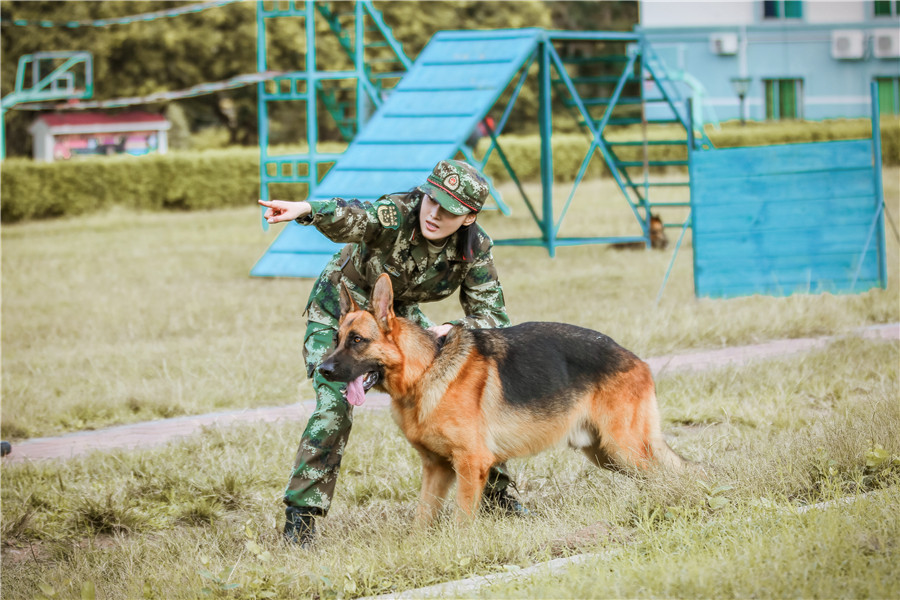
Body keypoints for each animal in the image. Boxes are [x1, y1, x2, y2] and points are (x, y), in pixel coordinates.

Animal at [320, 274, 684, 524]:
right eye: (336, 339)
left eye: (357, 340)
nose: (321, 369)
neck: (425, 369)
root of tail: (637, 360)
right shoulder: (437, 469)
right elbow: (422, 519)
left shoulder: (470, 464)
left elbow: (461, 520)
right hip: (606, 453)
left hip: (623, 449)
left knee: (668, 475)